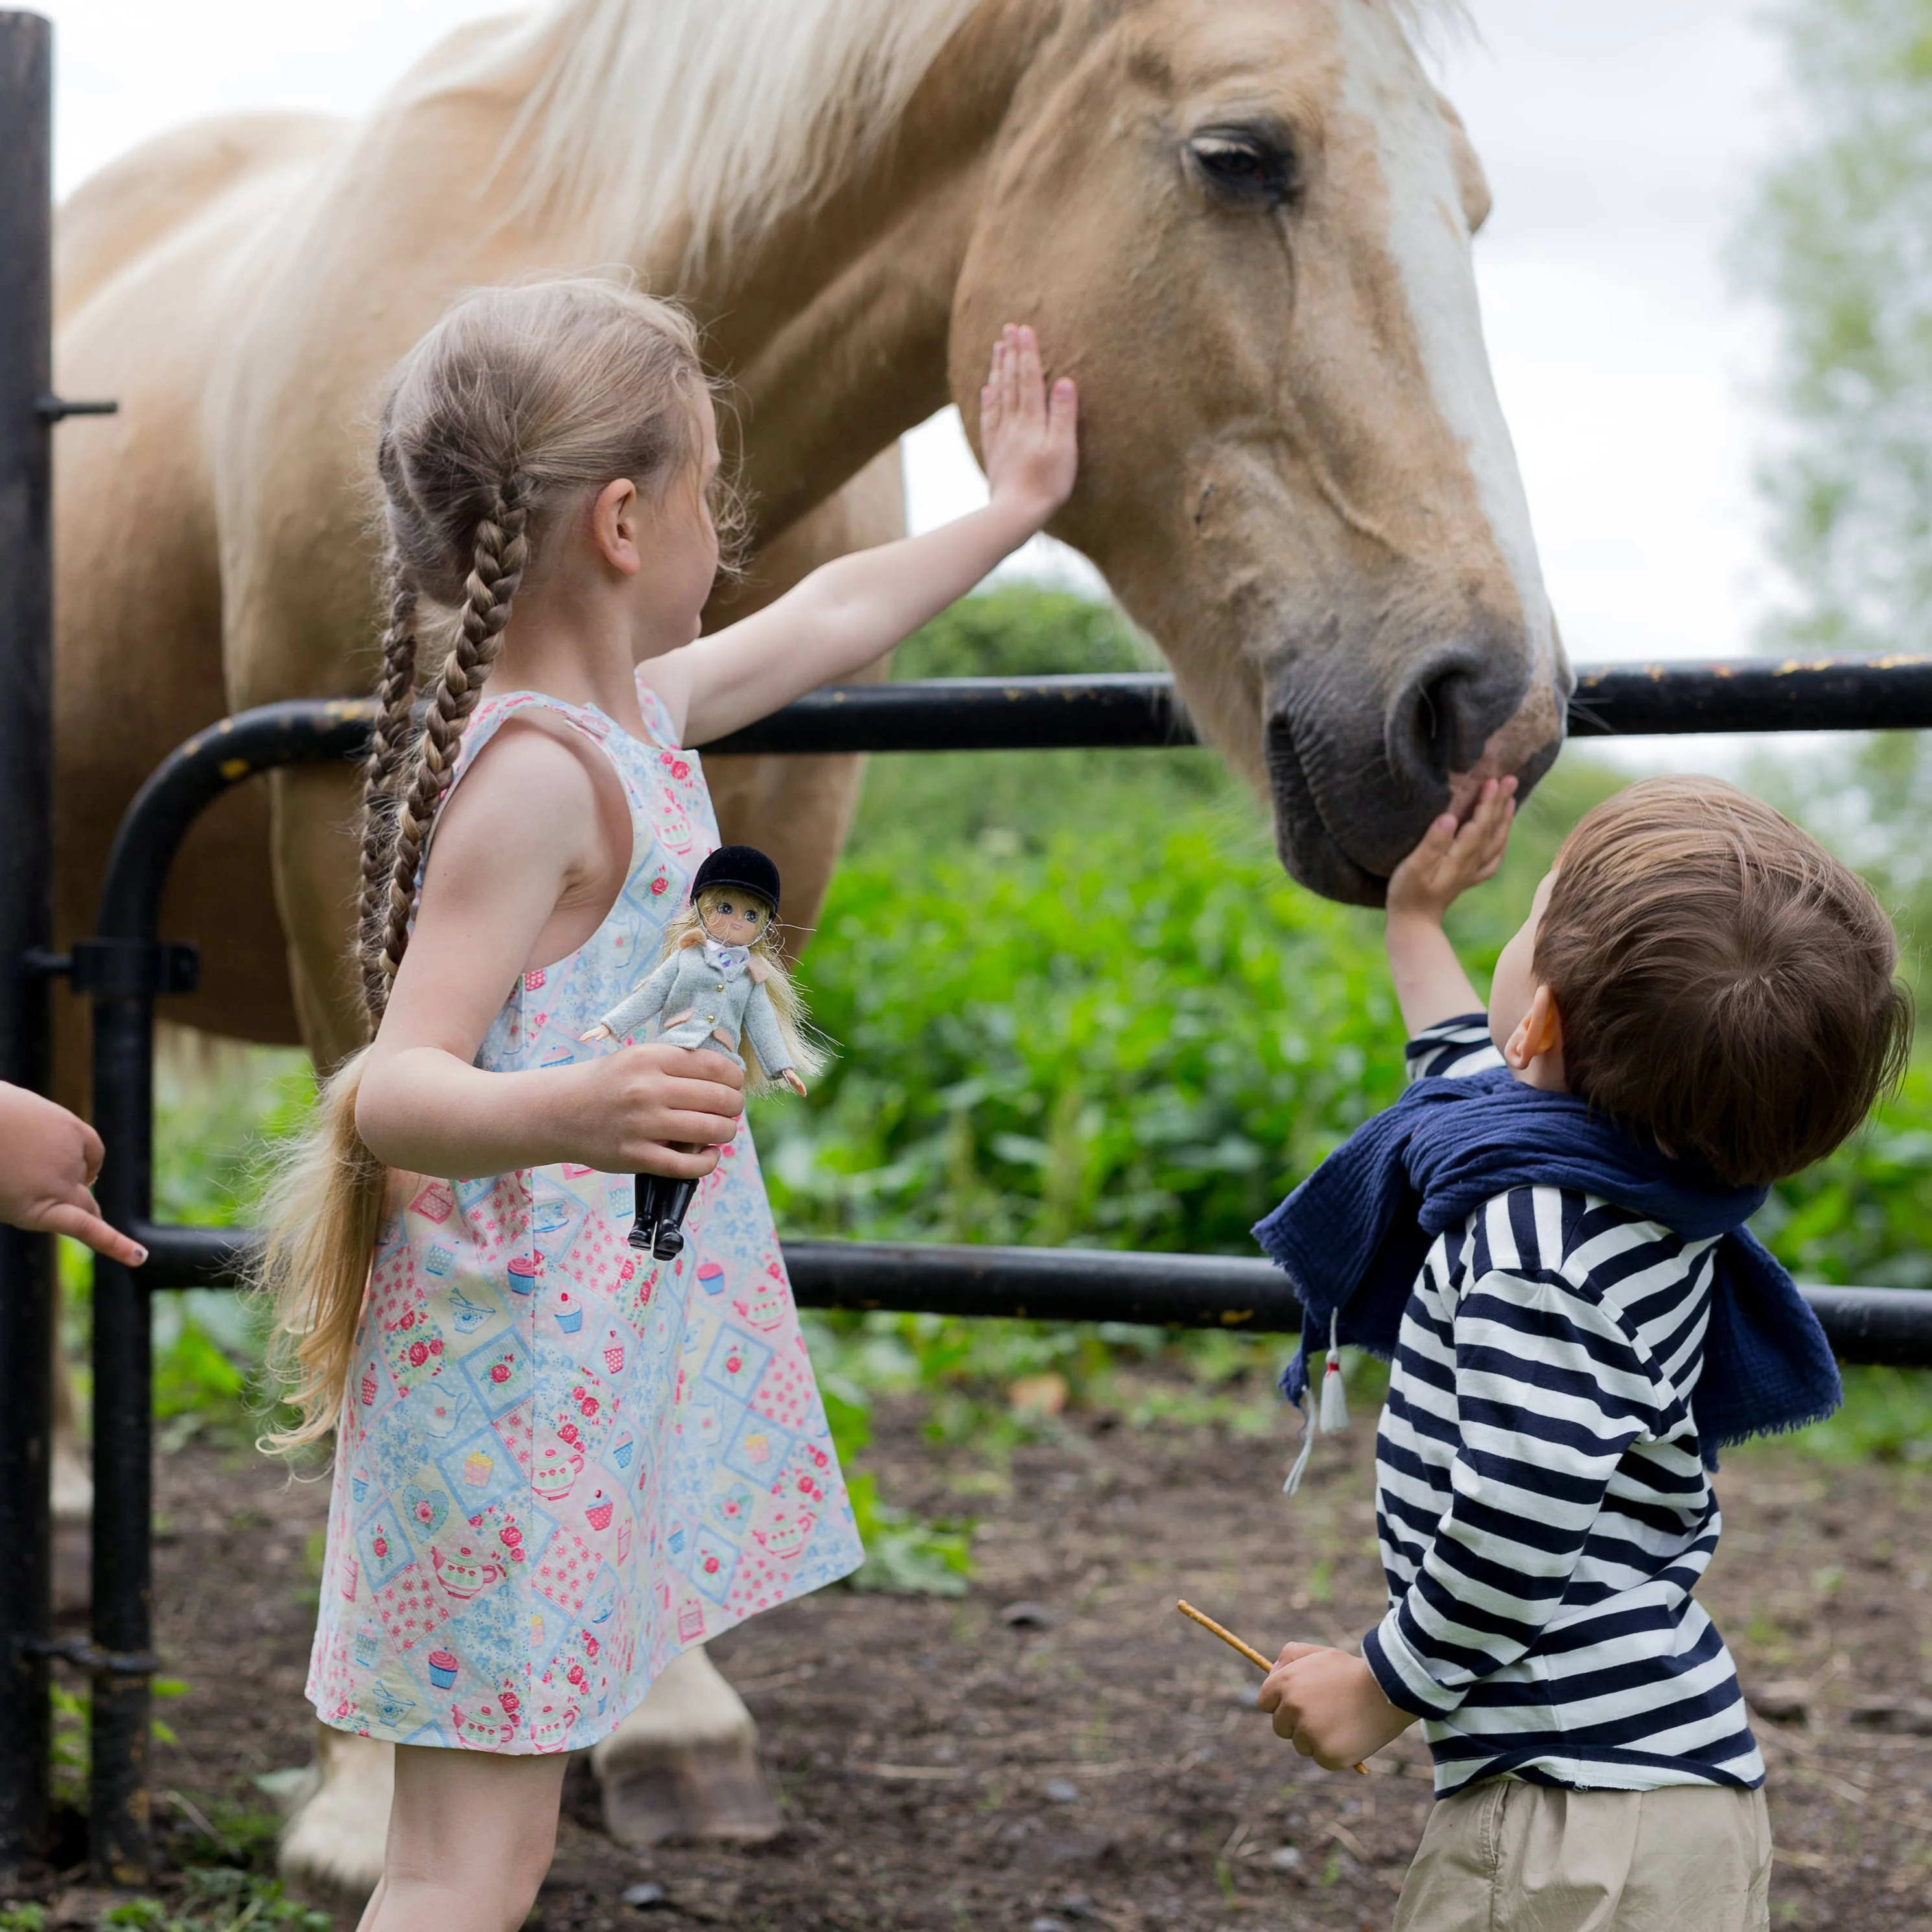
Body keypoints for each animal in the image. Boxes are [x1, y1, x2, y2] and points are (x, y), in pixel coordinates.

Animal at [51, 0, 1568, 1901]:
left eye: (1477, 202)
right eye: (1239, 156)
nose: (1491, 718)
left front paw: (668, 1715)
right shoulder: (359, 846)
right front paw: (358, 1792)